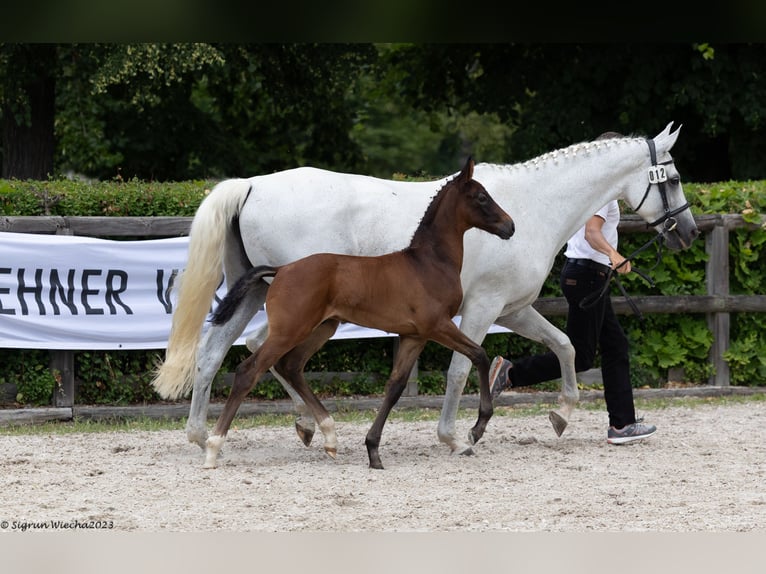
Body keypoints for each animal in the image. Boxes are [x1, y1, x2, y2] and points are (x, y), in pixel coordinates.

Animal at [152, 122, 704, 460]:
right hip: (299, 308)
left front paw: (561, 415)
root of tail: (251, 185)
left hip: (251, 291)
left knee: (215, 351)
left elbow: (565, 346)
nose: (688, 233)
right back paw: (308, 427)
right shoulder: (480, 308)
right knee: (259, 351)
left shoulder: (513, 308)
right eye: (674, 177)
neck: (534, 205)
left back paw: (207, 435)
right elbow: (462, 369)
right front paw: (456, 437)